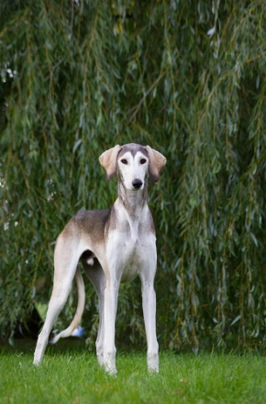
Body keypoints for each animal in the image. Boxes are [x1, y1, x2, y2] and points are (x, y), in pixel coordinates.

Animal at [33, 143, 166, 376]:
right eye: (123, 161)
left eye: (143, 161)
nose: (136, 183)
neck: (132, 216)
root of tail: (75, 218)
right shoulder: (115, 284)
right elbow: (110, 342)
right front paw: (113, 374)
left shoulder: (148, 286)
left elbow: (152, 341)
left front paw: (153, 374)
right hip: (65, 288)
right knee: (43, 334)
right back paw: (36, 366)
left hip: (103, 290)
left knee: (99, 341)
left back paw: (103, 368)